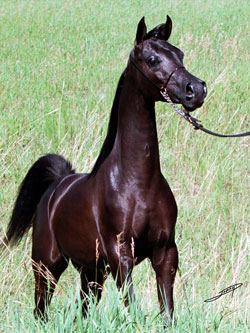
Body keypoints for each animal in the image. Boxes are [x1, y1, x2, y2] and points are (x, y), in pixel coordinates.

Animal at [2, 14, 207, 322]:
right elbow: (132, 306)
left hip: (91, 272)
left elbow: (167, 310)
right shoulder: (119, 254)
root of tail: (56, 187)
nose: (196, 89)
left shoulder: (166, 252)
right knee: (41, 309)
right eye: (152, 59)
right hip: (47, 266)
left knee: (82, 310)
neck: (136, 182)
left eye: (179, 54)